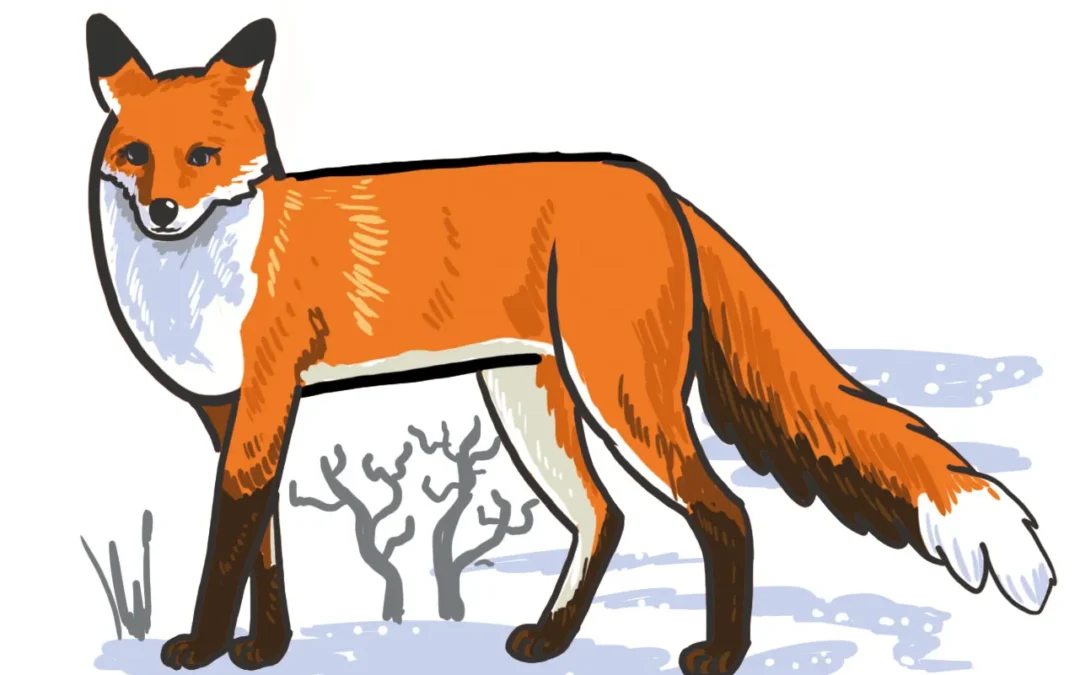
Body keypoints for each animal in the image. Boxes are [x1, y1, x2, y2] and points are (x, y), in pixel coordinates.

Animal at [84, 12, 1055, 675]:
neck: (209, 269)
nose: (162, 210)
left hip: (619, 394)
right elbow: (264, 546)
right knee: (603, 513)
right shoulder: (235, 414)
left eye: (204, 156)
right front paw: (265, 649)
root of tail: (656, 184)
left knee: (724, 512)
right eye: (136, 154)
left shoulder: (264, 400)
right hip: (530, 400)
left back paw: (719, 655)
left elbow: (226, 546)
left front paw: (202, 646)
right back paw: (551, 638)